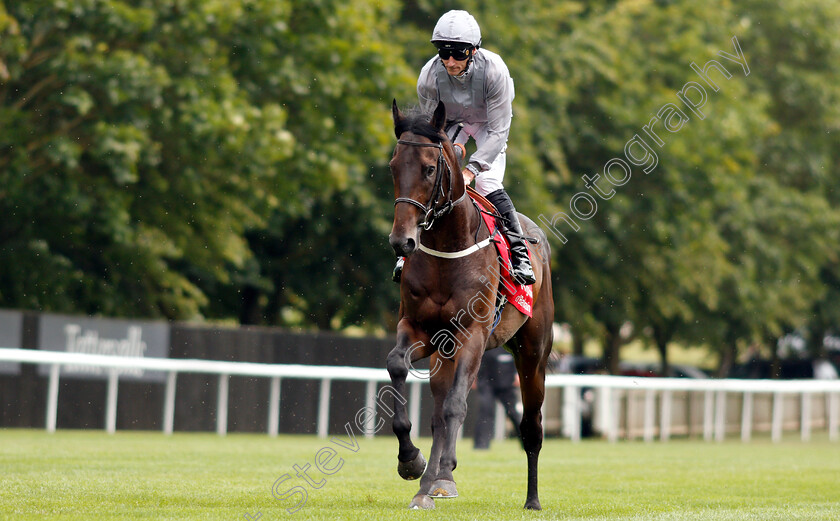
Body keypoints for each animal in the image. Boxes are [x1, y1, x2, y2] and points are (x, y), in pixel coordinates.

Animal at [386, 99, 556, 510]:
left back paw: (532, 500)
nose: (402, 241)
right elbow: (398, 365)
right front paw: (411, 461)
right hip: (444, 353)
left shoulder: (472, 336)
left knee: (531, 426)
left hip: (533, 351)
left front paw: (441, 465)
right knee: (438, 412)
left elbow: (456, 406)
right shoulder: (421, 330)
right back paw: (432, 484)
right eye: (393, 167)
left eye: (430, 169)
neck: (448, 250)